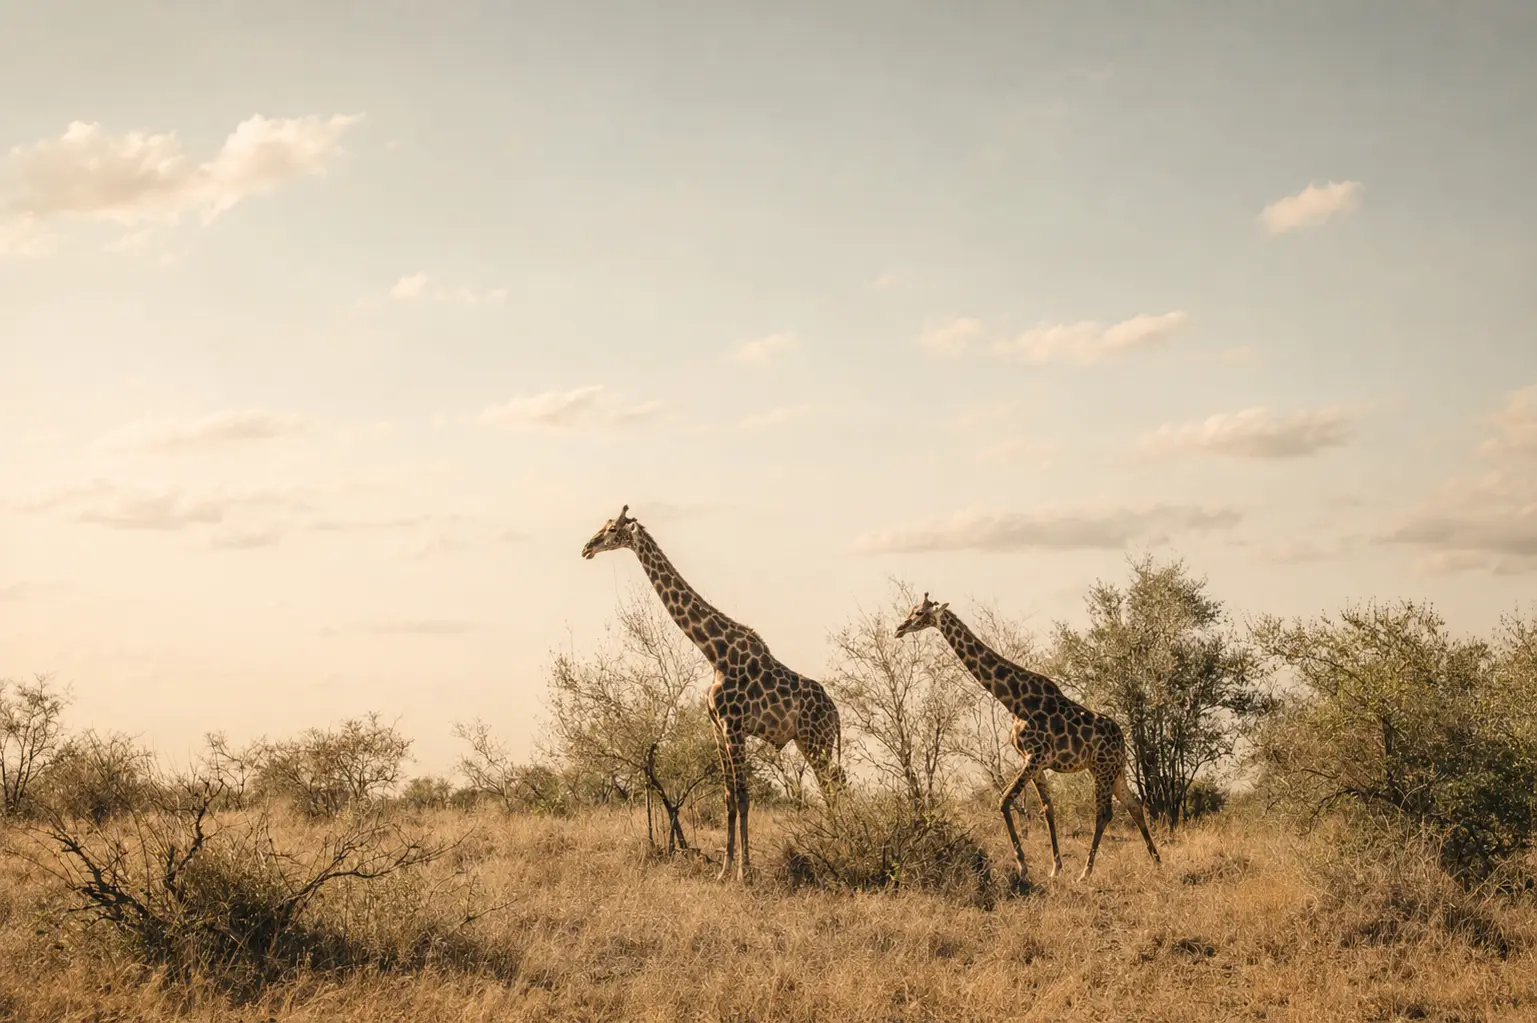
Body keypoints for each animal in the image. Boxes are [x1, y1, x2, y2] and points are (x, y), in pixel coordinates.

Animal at [581, 505, 846, 880]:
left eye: (612, 529)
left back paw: (841, 844)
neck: (715, 652)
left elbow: (744, 796)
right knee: (833, 784)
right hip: (807, 740)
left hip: (816, 738)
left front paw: (744, 873)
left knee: (834, 785)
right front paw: (724, 871)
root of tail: (836, 714)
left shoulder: (734, 726)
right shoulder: (718, 728)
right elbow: (727, 798)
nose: (587, 547)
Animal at [894, 593, 1160, 883]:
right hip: (1114, 770)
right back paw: (1156, 860)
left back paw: (1086, 872)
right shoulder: (1036, 762)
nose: (899, 629)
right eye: (911, 610)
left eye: (919, 613)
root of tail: (1122, 739)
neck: (1014, 701)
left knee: (1104, 813)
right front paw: (1055, 867)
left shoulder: (1035, 757)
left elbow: (1004, 800)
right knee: (1134, 805)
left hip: (1102, 768)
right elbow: (1047, 810)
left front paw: (1022, 865)